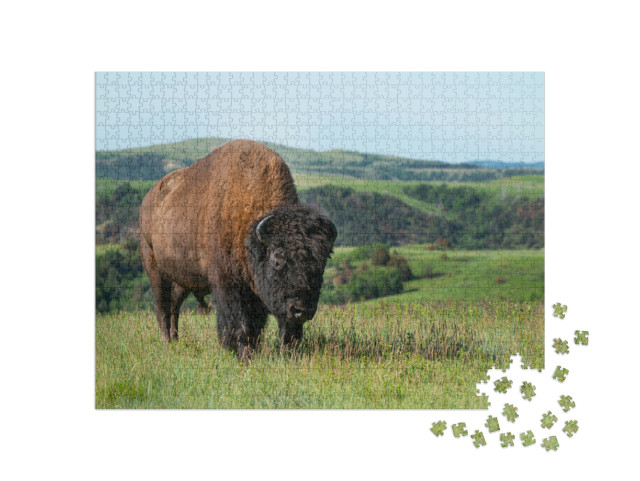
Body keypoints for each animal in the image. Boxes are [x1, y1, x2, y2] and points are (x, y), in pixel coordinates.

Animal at [138, 139, 338, 356]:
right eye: (277, 261)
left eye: (321, 265)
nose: (301, 309)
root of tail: (148, 199)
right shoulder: (229, 286)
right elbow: (239, 323)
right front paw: (243, 353)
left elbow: (271, 327)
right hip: (155, 270)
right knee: (162, 307)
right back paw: (167, 342)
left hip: (182, 277)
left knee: (175, 305)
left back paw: (176, 341)